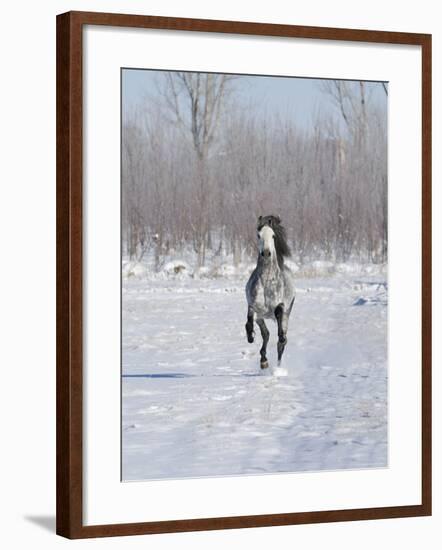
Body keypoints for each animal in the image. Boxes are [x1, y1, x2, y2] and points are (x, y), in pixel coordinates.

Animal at [243, 217, 296, 370]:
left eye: (273, 236)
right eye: (258, 235)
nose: (266, 253)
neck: (266, 282)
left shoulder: (280, 306)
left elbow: (278, 315)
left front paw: (281, 337)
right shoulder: (254, 307)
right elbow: (249, 321)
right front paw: (250, 337)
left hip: (287, 315)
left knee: (281, 342)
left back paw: (278, 366)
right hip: (261, 317)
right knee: (266, 334)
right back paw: (264, 361)